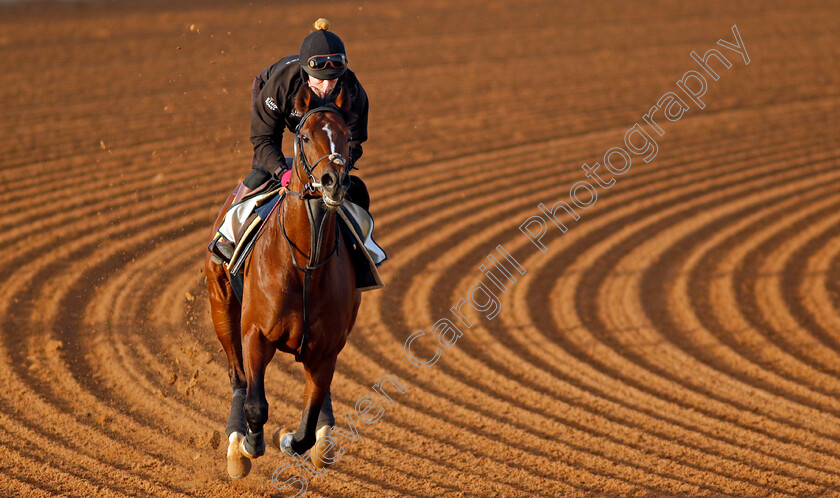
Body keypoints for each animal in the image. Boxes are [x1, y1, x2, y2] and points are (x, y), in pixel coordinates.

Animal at [206, 82, 360, 478]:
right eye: (304, 136)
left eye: (348, 136)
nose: (334, 182)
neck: (306, 264)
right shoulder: (255, 333)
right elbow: (256, 404)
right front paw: (248, 445)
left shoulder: (327, 348)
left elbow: (306, 425)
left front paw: (292, 439)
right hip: (221, 305)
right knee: (238, 378)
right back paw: (235, 443)